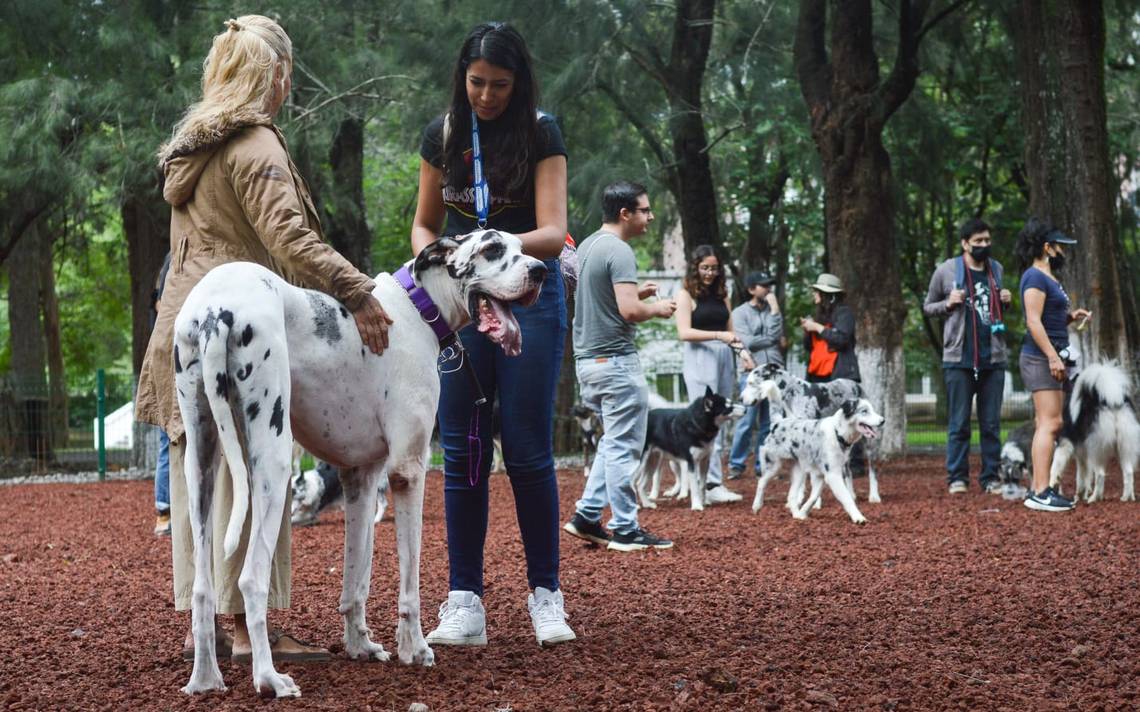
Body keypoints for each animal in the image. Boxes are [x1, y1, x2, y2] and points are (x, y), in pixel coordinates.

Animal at [173, 230, 547, 697]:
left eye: (521, 246)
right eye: (492, 249)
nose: (541, 270)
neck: (416, 310)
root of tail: (214, 309)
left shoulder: (362, 479)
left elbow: (358, 577)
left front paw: (360, 645)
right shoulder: (408, 472)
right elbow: (409, 584)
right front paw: (415, 649)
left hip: (200, 465)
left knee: (202, 590)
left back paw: (205, 679)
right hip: (272, 466)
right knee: (250, 580)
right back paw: (269, 678)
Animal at [743, 378, 884, 521]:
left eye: (872, 410)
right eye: (864, 411)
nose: (883, 421)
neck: (837, 432)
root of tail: (777, 422)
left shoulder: (820, 475)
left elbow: (813, 497)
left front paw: (803, 512)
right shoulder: (832, 475)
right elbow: (846, 498)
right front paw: (858, 518)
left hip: (799, 471)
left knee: (791, 496)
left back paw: (796, 515)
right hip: (773, 466)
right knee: (761, 482)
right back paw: (757, 506)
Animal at [1048, 359, 1140, 498]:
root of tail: (1109, 400)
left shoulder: (1065, 444)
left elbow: (1055, 469)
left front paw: (1052, 485)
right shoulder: (1081, 452)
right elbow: (1082, 475)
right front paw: (1081, 494)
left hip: (1096, 449)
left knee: (1101, 474)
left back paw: (1095, 498)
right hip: (1122, 446)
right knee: (1128, 472)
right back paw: (1126, 497)